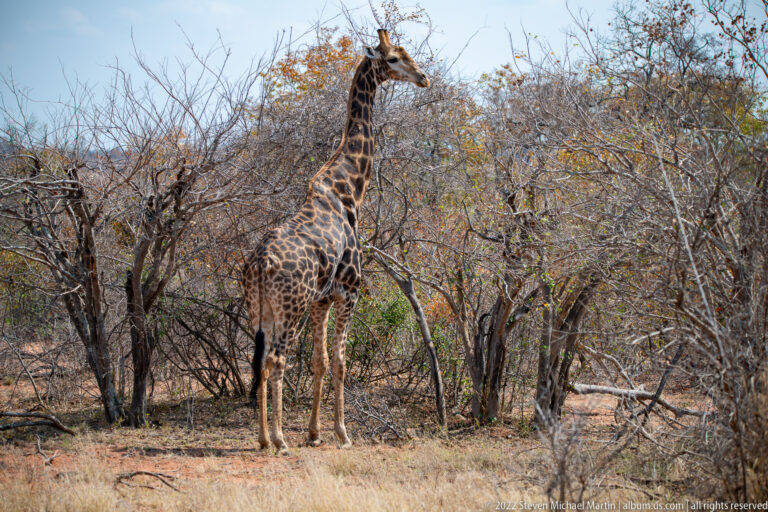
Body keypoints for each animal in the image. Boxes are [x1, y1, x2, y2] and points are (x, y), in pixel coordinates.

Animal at [243, 29, 429, 455]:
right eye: (393, 58)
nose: (424, 77)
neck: (350, 189)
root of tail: (260, 265)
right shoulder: (349, 291)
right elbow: (342, 362)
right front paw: (342, 434)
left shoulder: (321, 300)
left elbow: (320, 361)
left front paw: (314, 433)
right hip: (289, 309)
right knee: (277, 361)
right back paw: (280, 440)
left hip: (259, 309)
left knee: (259, 361)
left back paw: (262, 438)